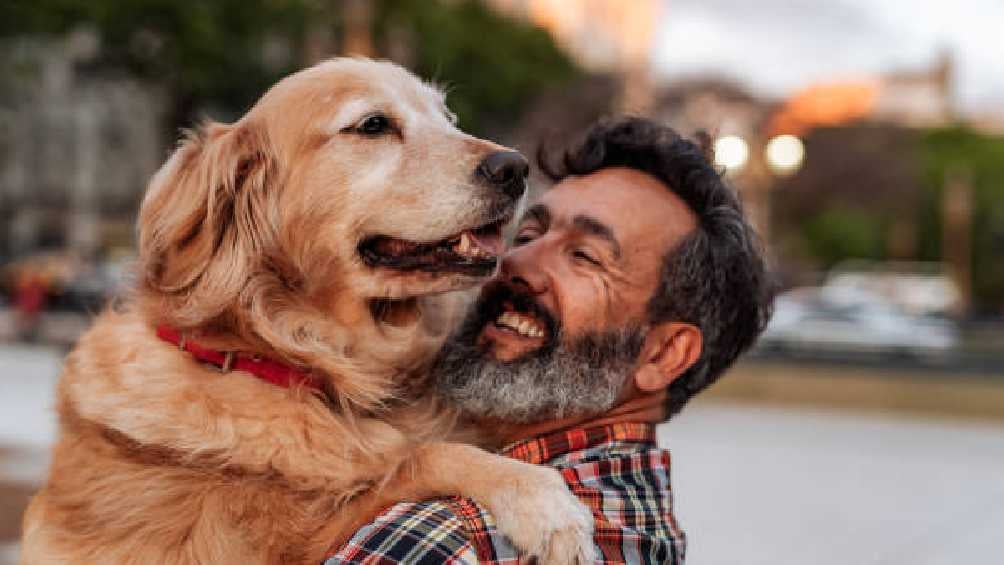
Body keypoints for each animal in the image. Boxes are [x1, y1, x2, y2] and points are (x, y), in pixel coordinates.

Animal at [21, 58, 594, 565]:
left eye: (447, 118)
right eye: (373, 125)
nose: (515, 167)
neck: (287, 360)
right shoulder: (282, 542)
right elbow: (419, 457)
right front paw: (544, 501)